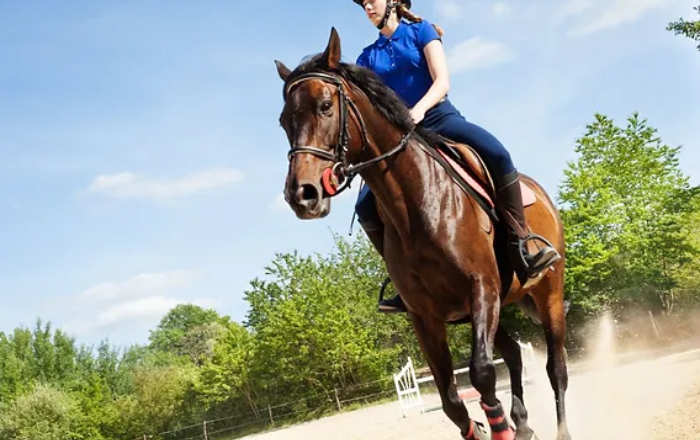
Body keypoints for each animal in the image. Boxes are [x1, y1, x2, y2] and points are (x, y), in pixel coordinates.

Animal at [272, 28, 568, 440]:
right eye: (284, 120)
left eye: (326, 106)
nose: (301, 195)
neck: (419, 203)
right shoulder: (424, 315)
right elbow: (451, 400)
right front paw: (483, 427)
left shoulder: (482, 287)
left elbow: (481, 373)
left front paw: (498, 427)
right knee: (511, 354)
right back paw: (522, 423)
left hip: (548, 293)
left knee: (556, 369)